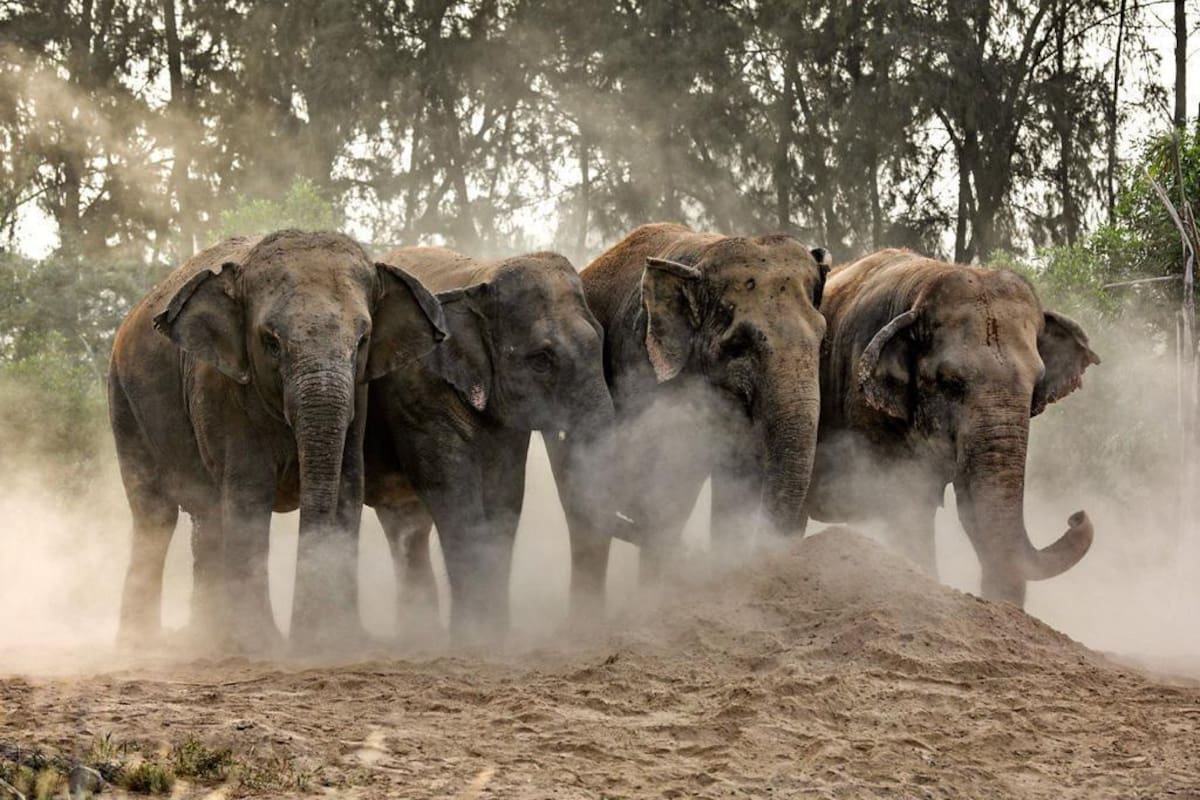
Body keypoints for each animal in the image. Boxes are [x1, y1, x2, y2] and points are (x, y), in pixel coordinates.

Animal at [108, 230, 448, 653]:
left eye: (363, 341)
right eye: (271, 342)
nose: (301, 635)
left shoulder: (359, 394)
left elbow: (348, 487)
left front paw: (338, 639)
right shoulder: (219, 387)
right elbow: (249, 492)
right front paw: (263, 645)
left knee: (205, 514)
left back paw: (208, 638)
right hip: (123, 401)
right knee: (155, 516)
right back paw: (144, 645)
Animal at [363, 246, 614, 644]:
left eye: (602, 339)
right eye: (542, 359)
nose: (573, 630)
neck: (480, 279)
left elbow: (506, 498)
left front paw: (496, 635)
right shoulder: (420, 397)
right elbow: (455, 498)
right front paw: (474, 639)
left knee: (405, 526)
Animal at [804, 248, 1100, 607]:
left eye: (1037, 385)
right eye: (951, 384)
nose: (1076, 516)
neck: (921, 289)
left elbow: (965, 506)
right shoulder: (863, 403)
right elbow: (906, 504)